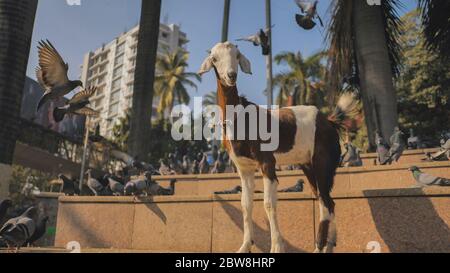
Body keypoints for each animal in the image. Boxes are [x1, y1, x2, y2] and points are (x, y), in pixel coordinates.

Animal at [199, 41, 360, 252]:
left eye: (237, 56)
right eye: (215, 58)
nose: (231, 75)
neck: (240, 117)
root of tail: (329, 122)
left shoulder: (267, 162)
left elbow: (268, 203)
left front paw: (277, 247)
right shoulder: (244, 168)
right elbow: (245, 204)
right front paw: (245, 246)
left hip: (323, 162)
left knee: (326, 203)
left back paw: (320, 247)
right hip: (308, 166)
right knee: (326, 202)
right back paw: (328, 245)